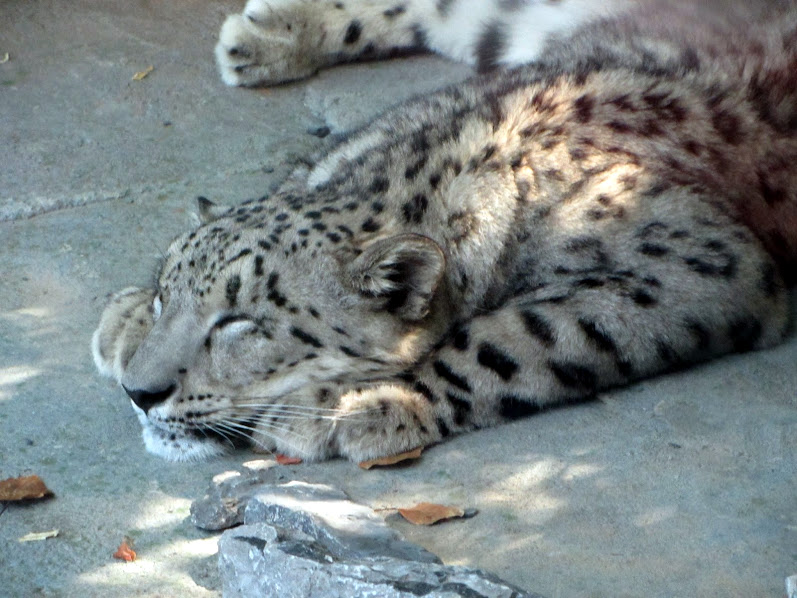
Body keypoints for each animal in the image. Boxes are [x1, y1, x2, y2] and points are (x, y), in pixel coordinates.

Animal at [92, 0, 797, 462]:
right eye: (168, 293)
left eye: (241, 324)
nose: (140, 392)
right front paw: (123, 319)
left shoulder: (698, 258)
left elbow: (517, 335)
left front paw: (354, 406)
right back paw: (266, 36)